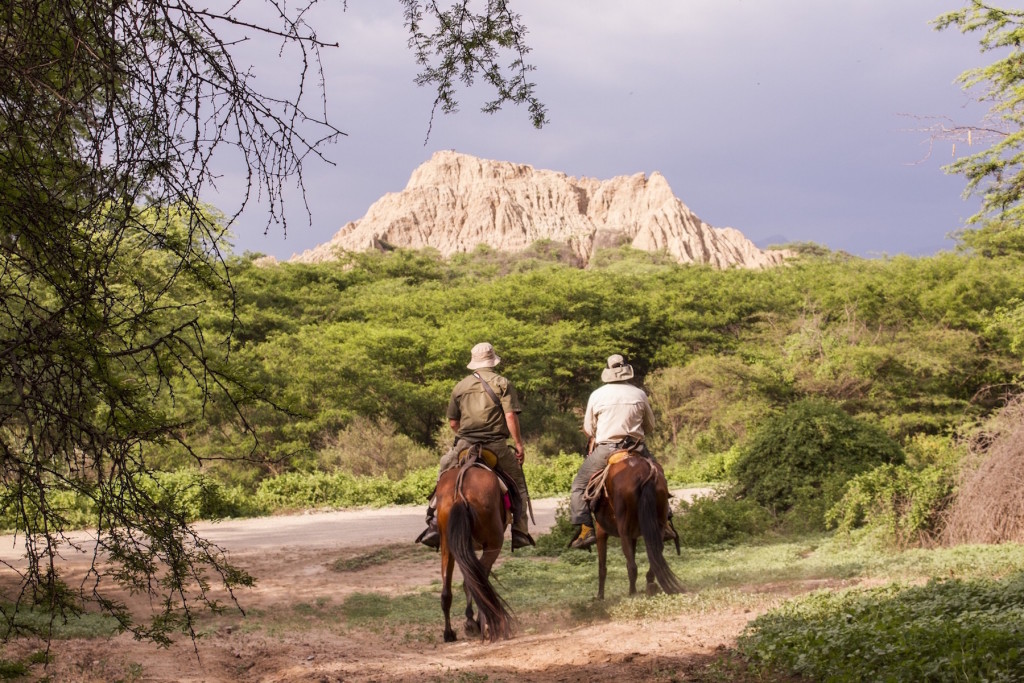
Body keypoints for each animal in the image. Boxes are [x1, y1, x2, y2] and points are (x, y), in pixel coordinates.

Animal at [434, 448, 516, 643]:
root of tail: (460, 493)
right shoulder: (489, 546)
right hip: (493, 543)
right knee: (478, 582)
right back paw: (480, 624)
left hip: (447, 545)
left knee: (447, 590)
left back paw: (450, 633)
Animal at [589, 454, 684, 598]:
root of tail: (646, 471)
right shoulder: (633, 535)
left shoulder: (601, 531)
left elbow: (602, 567)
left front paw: (600, 596)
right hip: (658, 524)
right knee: (655, 553)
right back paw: (650, 584)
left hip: (624, 531)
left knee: (632, 565)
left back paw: (633, 593)